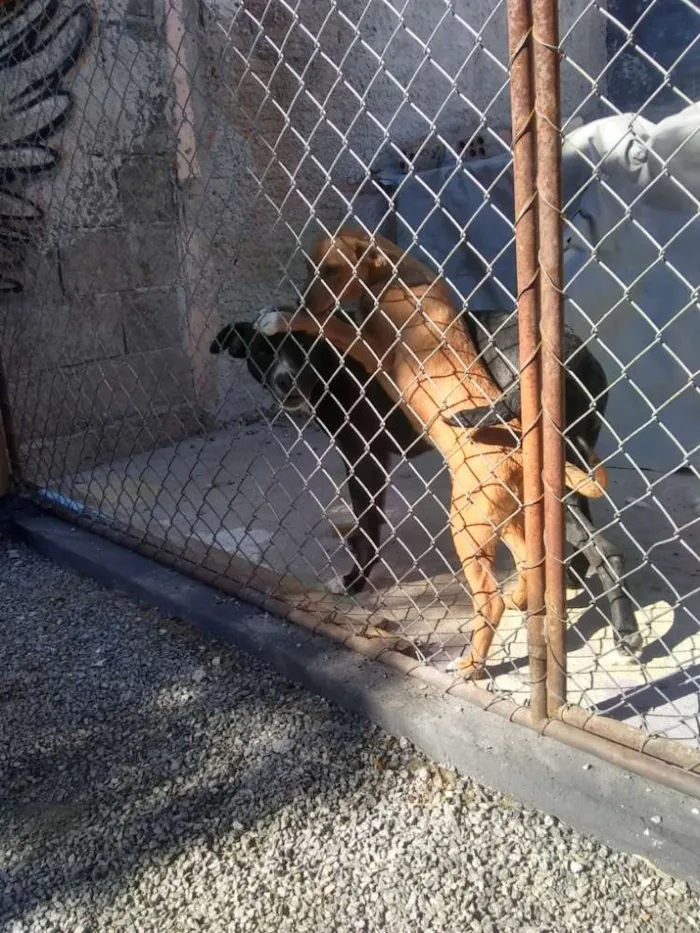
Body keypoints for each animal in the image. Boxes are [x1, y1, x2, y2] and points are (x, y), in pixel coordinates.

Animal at [211, 310, 644, 652]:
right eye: (262, 353)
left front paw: (354, 581)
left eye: (305, 350)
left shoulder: (364, 456)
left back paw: (625, 628)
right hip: (571, 462)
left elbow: (367, 528)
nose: (287, 381)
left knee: (606, 549)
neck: (335, 363)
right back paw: (569, 583)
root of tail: (571, 349)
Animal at [258, 227, 608, 676]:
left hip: (466, 525)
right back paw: (520, 600)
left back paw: (472, 663)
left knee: (489, 600)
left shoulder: (375, 350)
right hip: (503, 520)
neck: (397, 277)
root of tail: (518, 449)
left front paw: (283, 318)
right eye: (308, 267)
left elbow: (329, 323)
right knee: (529, 561)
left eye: (331, 270)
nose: (300, 300)